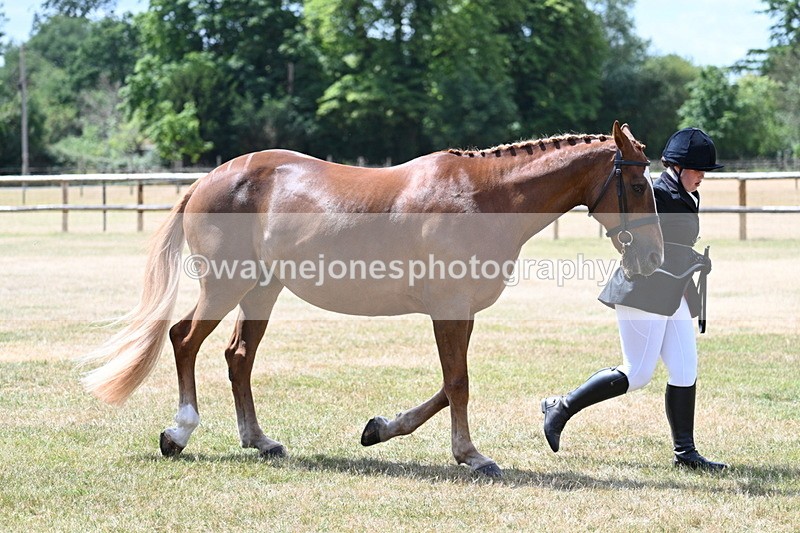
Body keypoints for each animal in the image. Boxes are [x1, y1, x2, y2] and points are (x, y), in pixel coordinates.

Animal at [81, 121, 662, 477]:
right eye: (638, 187)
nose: (655, 254)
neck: (482, 197)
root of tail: (208, 180)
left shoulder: (461, 312)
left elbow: (450, 385)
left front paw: (381, 430)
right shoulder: (449, 308)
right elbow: (458, 384)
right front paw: (471, 455)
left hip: (262, 289)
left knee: (238, 356)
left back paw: (260, 440)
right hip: (227, 285)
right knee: (184, 339)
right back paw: (179, 432)